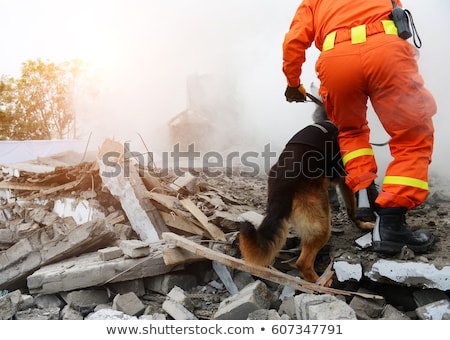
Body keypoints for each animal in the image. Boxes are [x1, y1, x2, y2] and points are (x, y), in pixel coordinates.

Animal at [241, 100, 374, 282]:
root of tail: (281, 187)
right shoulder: (345, 179)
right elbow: (352, 209)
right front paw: (362, 224)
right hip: (321, 223)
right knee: (303, 262)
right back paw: (320, 283)